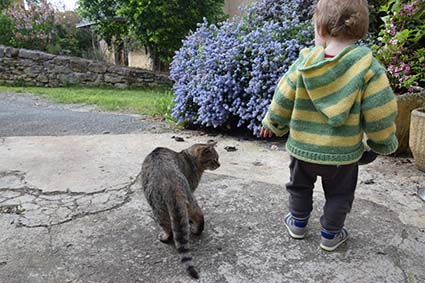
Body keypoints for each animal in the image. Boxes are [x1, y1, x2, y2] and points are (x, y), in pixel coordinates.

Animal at [140, 142, 219, 280]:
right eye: (214, 159)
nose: (219, 164)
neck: (190, 159)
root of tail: (169, 182)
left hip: (157, 207)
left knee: (171, 227)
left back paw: (167, 236)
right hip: (188, 199)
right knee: (197, 214)